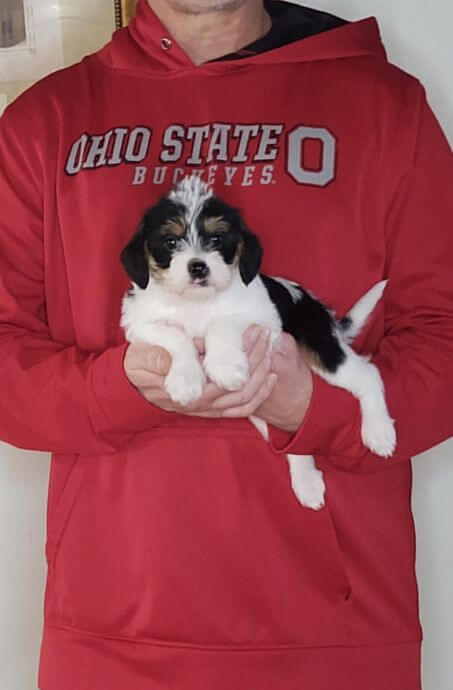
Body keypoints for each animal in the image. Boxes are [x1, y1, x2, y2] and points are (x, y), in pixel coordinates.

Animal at [121, 175, 396, 508]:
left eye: (217, 239)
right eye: (170, 242)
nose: (198, 266)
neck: (198, 302)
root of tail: (322, 312)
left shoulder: (264, 320)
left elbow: (223, 322)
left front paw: (224, 365)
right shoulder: (139, 324)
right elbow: (175, 336)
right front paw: (186, 380)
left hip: (323, 350)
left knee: (368, 374)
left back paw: (379, 432)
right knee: (294, 437)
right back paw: (307, 483)